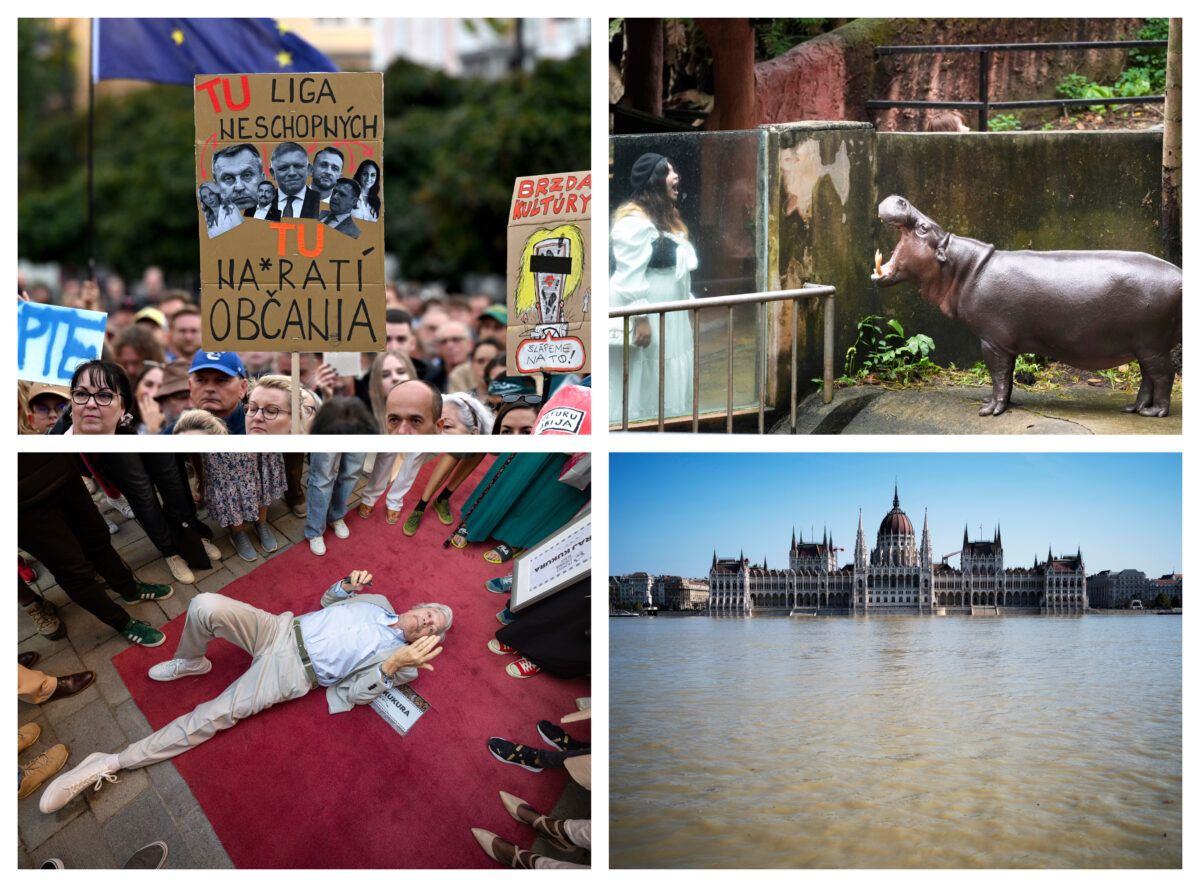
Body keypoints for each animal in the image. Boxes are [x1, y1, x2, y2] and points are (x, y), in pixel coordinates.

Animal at [873, 195, 1180, 417]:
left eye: (924, 228)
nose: (900, 198)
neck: (964, 267)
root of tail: (1181, 275)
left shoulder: (992, 341)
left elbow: (998, 375)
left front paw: (989, 410)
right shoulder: (1005, 344)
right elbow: (1006, 378)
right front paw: (999, 403)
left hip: (1152, 345)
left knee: (1164, 376)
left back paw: (1155, 413)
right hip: (1144, 347)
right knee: (1148, 379)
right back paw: (1133, 408)